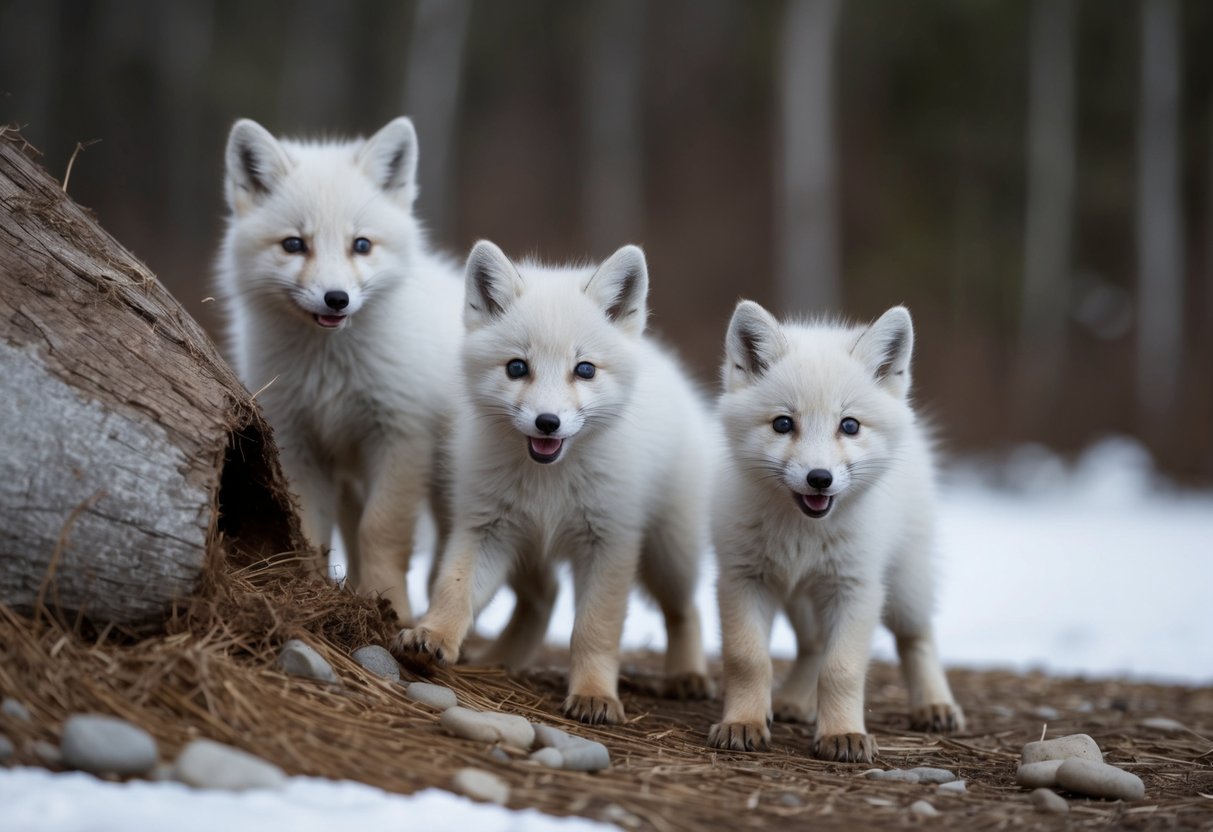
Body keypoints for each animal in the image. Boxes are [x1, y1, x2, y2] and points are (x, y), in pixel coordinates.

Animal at [216, 116, 464, 623]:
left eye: (361, 245)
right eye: (294, 244)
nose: (336, 299)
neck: (330, 371)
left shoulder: (400, 438)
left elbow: (381, 533)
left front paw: (392, 611)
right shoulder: (296, 444)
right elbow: (308, 534)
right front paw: (313, 595)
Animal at [391, 240, 713, 724]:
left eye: (585, 370)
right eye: (516, 367)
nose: (548, 422)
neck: (551, 484)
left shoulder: (609, 543)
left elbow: (594, 630)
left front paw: (595, 694)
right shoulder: (484, 527)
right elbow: (453, 590)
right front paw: (433, 635)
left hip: (667, 554)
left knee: (685, 609)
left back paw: (687, 675)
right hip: (527, 548)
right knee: (544, 598)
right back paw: (499, 662)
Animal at [707, 300, 964, 763]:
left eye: (849, 426)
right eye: (783, 424)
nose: (819, 478)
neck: (803, 536)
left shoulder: (857, 588)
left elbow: (841, 669)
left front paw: (843, 733)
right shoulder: (743, 580)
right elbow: (748, 659)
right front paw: (744, 722)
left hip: (904, 589)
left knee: (918, 637)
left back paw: (934, 705)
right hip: (800, 599)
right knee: (812, 647)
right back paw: (794, 701)